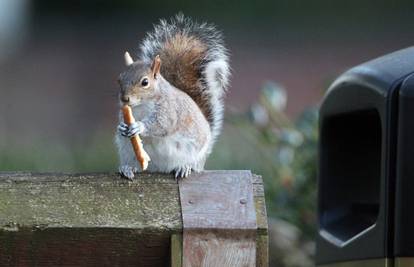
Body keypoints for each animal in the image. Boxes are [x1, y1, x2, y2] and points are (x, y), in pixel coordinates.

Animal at [115, 13, 230, 179]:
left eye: (145, 82)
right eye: (119, 79)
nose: (124, 99)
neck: (142, 105)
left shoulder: (169, 110)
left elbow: (162, 125)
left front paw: (139, 126)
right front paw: (122, 127)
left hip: (194, 153)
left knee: (191, 164)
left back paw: (185, 167)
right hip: (127, 150)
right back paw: (128, 168)